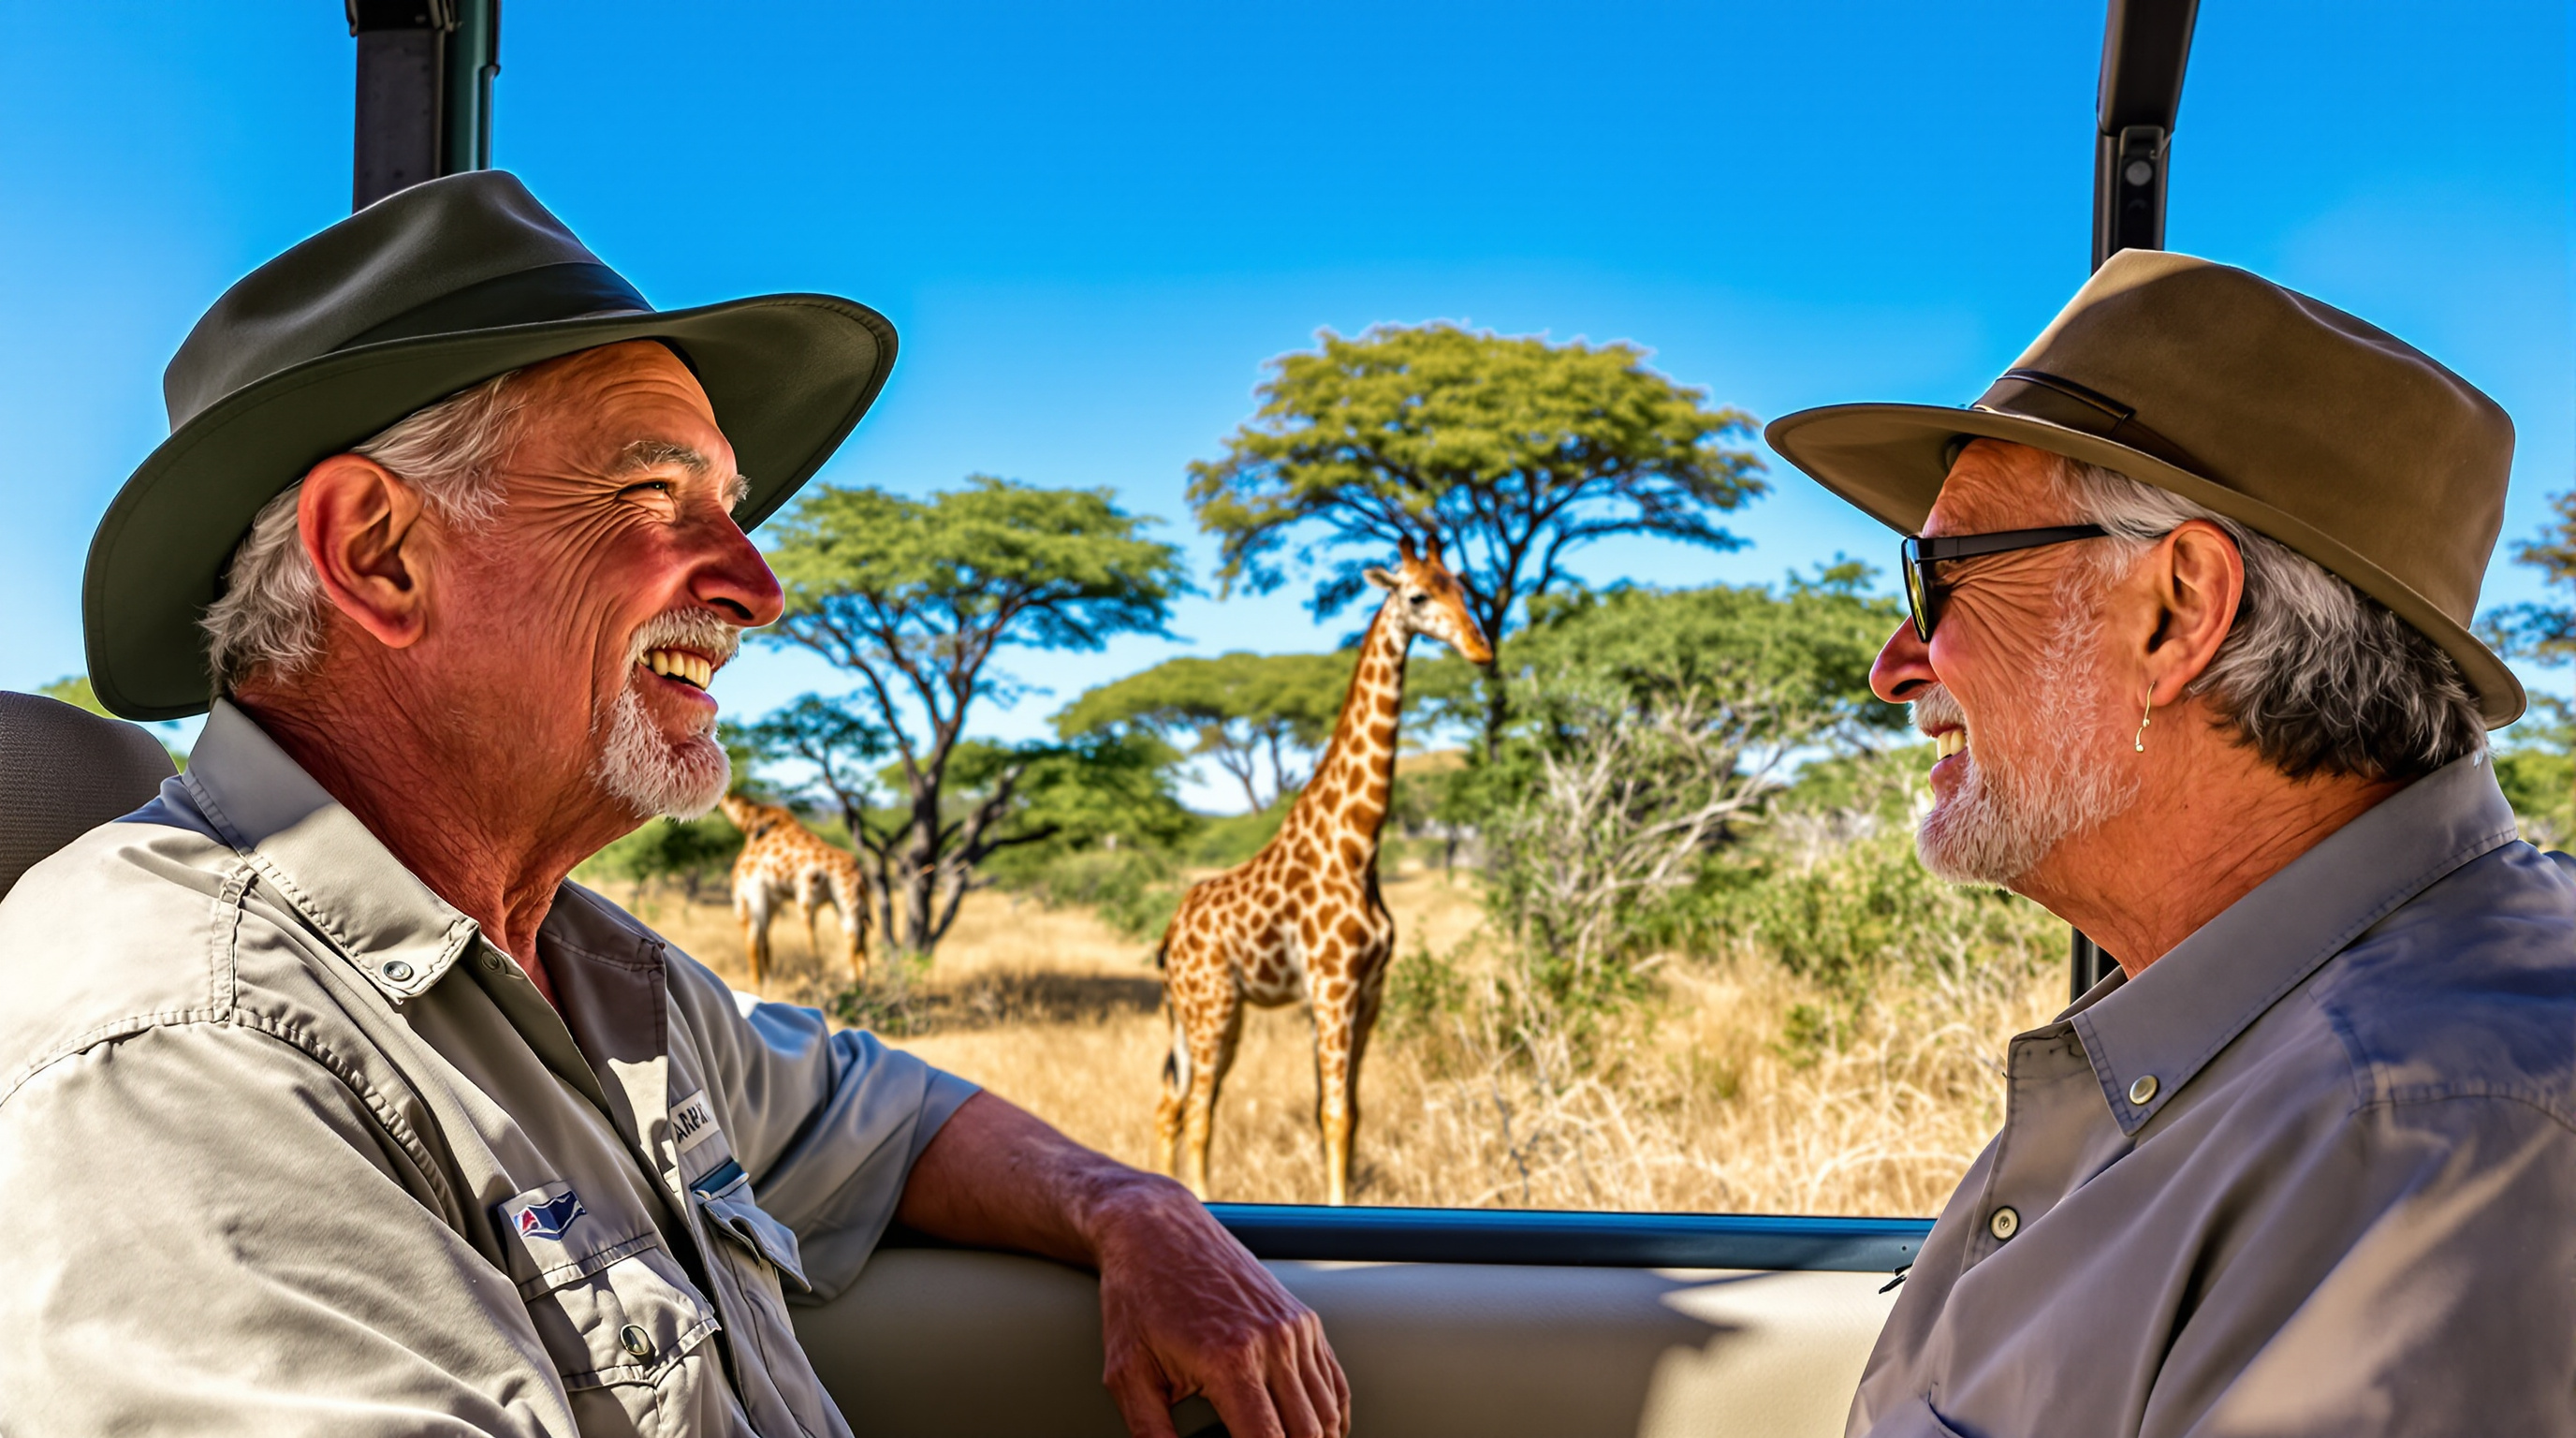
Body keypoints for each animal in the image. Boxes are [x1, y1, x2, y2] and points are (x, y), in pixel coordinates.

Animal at [716, 794, 871, 989]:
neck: (750, 821)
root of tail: (860, 874)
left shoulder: (752, 889)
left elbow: (755, 938)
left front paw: (759, 985)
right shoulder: (772, 897)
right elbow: (765, 940)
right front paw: (768, 982)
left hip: (833, 897)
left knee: (845, 935)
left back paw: (835, 978)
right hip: (847, 902)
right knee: (858, 937)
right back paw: (859, 981)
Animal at [1154, 536, 1493, 1205]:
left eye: (1463, 588)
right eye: (1418, 596)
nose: (1480, 648)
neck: (1360, 844)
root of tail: (1171, 935)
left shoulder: (1370, 990)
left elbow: (1350, 1111)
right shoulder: (1331, 987)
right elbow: (1333, 1112)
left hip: (1211, 1013)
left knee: (1172, 1106)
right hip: (1210, 1007)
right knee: (1198, 1110)